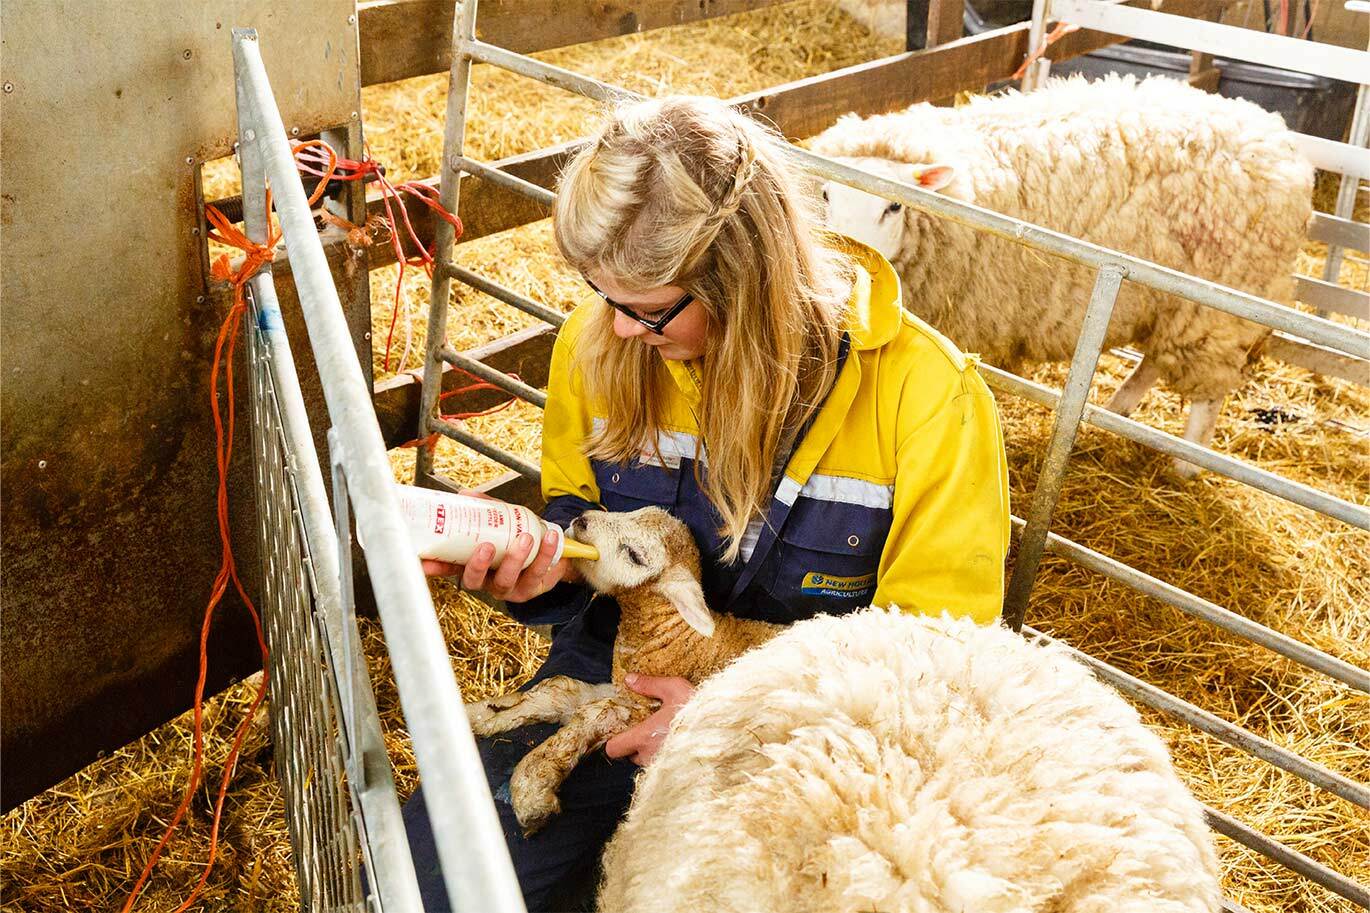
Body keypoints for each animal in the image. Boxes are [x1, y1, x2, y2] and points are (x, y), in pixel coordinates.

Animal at [465, 506, 781, 835]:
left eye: (634, 555)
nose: (582, 521)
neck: (673, 637)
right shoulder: (625, 686)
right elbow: (560, 690)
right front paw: (484, 714)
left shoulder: (642, 708)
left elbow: (590, 717)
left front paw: (531, 789)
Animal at [811, 74, 1314, 477]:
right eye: (825, 194)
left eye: (894, 206)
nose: (849, 265)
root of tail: (1278, 141)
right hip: (1173, 300)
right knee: (1155, 359)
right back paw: (1119, 407)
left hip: (1221, 304)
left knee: (1207, 393)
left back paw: (1186, 465)